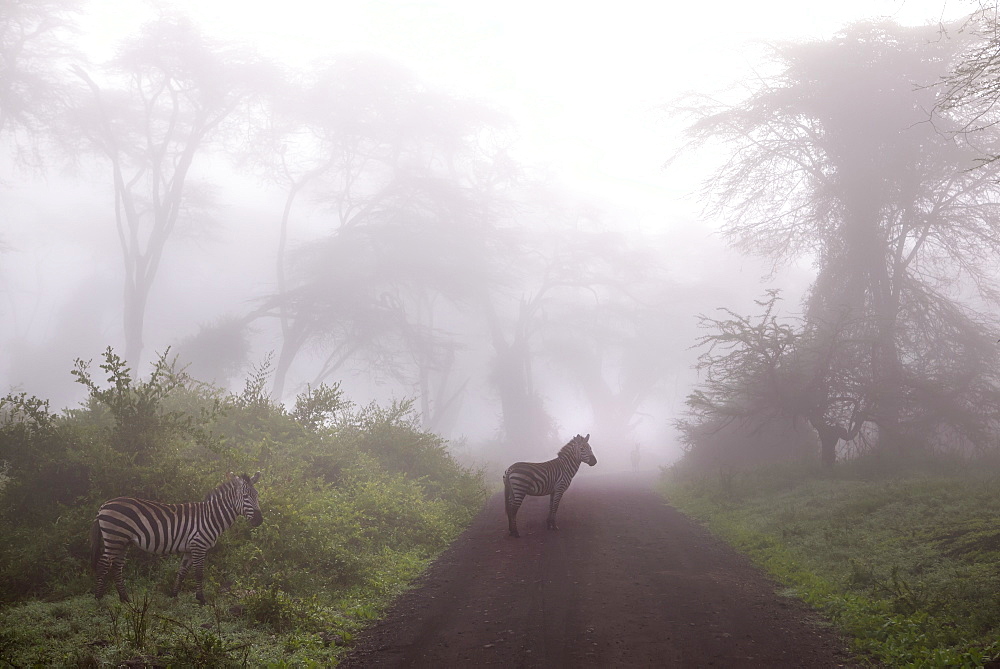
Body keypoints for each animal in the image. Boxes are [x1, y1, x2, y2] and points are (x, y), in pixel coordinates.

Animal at [92, 470, 264, 604]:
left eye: (257, 495)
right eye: (245, 496)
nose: (259, 520)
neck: (211, 516)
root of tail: (103, 505)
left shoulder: (190, 548)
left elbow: (182, 571)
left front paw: (174, 595)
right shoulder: (199, 545)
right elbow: (199, 573)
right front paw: (201, 599)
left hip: (123, 542)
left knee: (117, 567)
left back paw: (125, 598)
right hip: (114, 538)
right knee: (103, 564)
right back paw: (98, 597)